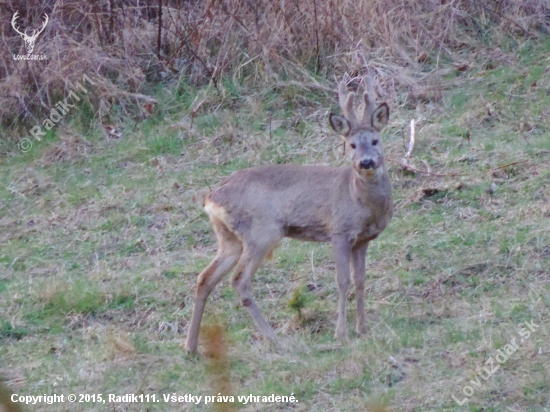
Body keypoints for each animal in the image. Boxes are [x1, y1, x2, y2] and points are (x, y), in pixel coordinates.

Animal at [188, 77, 394, 354]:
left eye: (374, 141)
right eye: (351, 145)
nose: (366, 163)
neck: (359, 200)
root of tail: (211, 200)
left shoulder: (362, 240)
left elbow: (360, 280)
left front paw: (362, 329)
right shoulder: (339, 231)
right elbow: (342, 281)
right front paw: (341, 334)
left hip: (230, 238)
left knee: (205, 277)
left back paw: (190, 347)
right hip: (262, 232)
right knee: (239, 280)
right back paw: (274, 337)